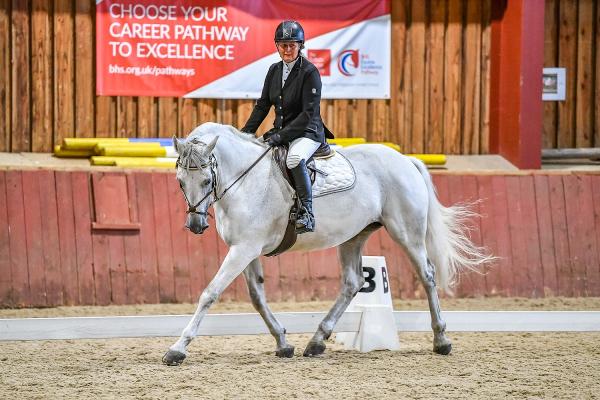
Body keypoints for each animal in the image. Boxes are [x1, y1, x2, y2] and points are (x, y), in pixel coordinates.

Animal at [164, 122, 492, 366]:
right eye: (180, 182)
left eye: (207, 181)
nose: (196, 226)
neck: (245, 180)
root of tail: (406, 159)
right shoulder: (246, 249)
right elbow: (257, 297)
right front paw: (283, 343)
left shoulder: (244, 249)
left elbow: (210, 293)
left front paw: (178, 349)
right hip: (354, 236)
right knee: (353, 282)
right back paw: (317, 341)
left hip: (407, 233)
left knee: (427, 275)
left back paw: (442, 340)